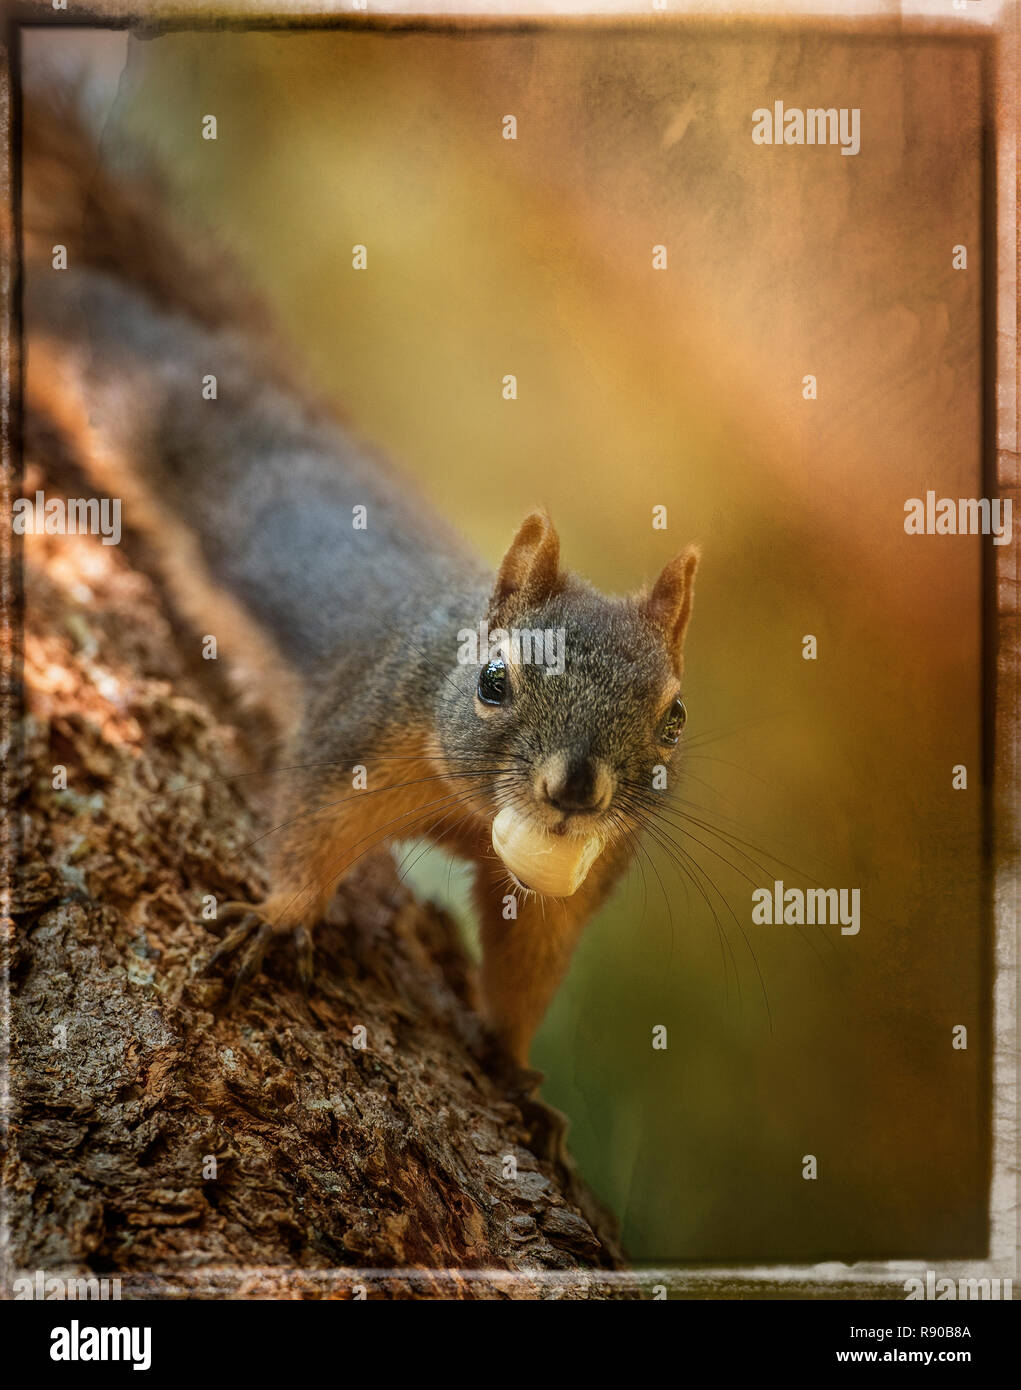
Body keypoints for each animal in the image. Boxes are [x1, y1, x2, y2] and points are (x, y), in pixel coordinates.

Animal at [21, 92, 699, 1071]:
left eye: (675, 719)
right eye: (495, 681)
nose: (577, 790)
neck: (466, 804)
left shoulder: (583, 869)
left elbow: (530, 954)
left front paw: (511, 1064)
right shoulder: (358, 730)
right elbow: (310, 827)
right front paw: (280, 916)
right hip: (127, 388)